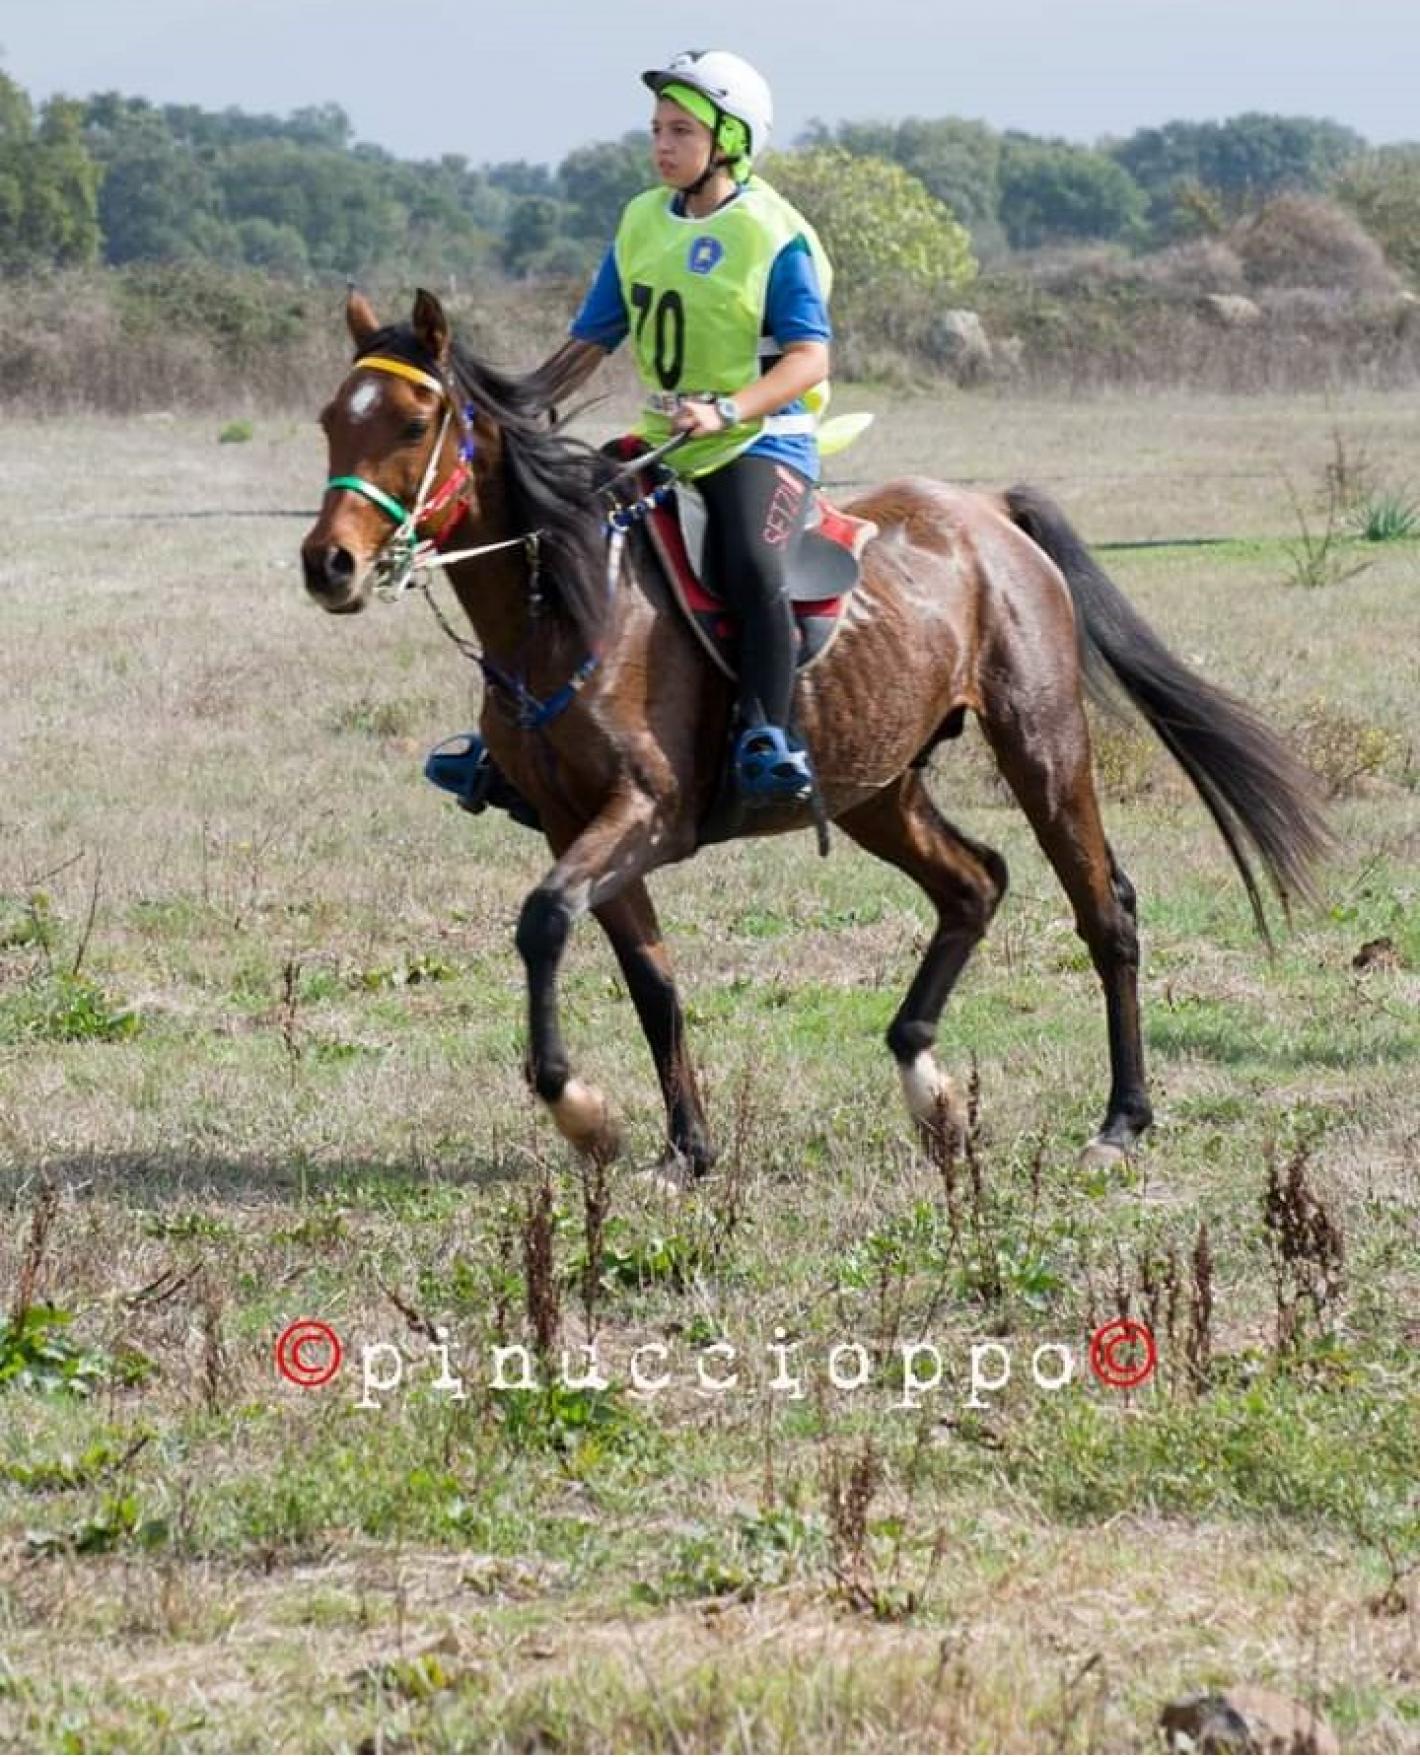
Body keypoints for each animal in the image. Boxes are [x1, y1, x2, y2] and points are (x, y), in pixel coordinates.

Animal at [298, 291, 1328, 1180]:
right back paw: (928, 1085)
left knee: (1103, 910)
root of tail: (991, 512)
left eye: (414, 422)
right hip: (876, 785)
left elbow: (546, 918)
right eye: (329, 420)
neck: (569, 605)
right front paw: (685, 1150)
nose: (328, 565)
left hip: (1041, 745)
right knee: (975, 883)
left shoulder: (647, 813)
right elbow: (650, 981)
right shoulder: (570, 819)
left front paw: (581, 1111)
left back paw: (1120, 1121)